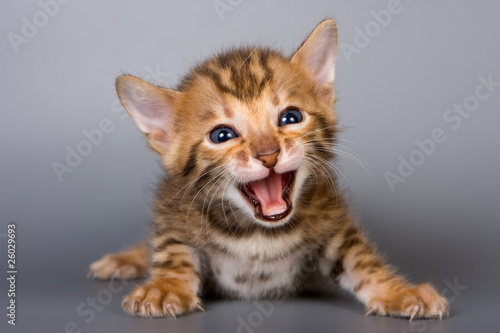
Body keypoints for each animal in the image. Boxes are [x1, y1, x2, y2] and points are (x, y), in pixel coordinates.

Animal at [88, 18, 448, 320]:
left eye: (290, 117)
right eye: (222, 135)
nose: (269, 154)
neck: (258, 234)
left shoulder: (334, 220)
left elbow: (362, 259)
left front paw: (399, 292)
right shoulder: (173, 208)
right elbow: (171, 248)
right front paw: (165, 288)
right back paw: (124, 259)